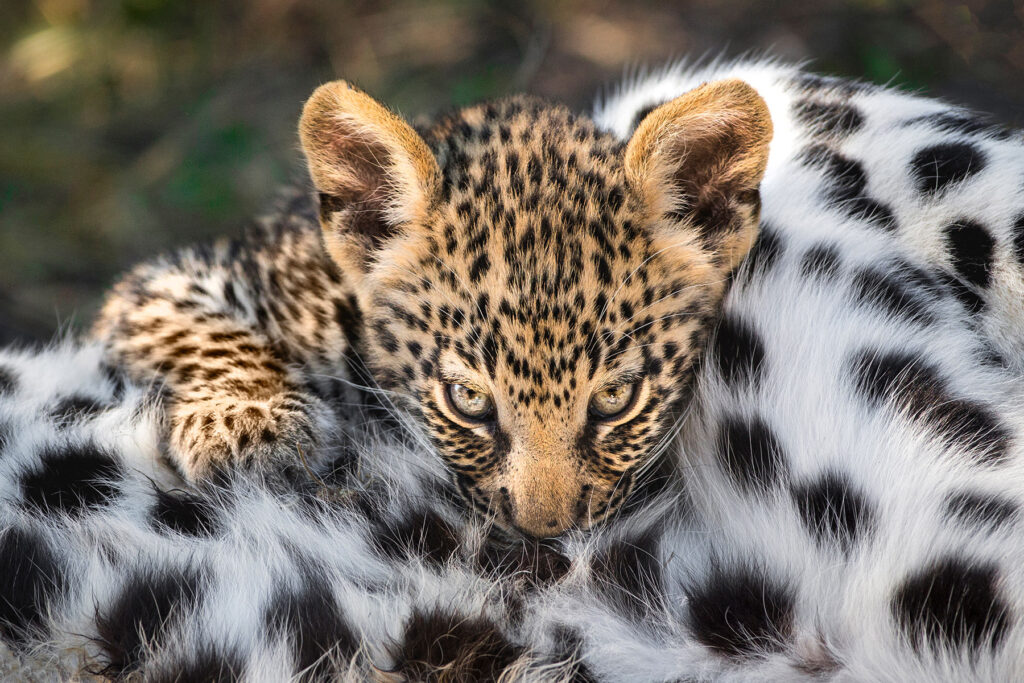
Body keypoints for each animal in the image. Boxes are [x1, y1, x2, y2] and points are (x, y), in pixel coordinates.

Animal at [92, 77, 772, 538]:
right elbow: (202, 332)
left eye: (615, 398)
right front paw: (251, 424)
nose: (543, 529)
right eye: (468, 400)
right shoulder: (168, 280)